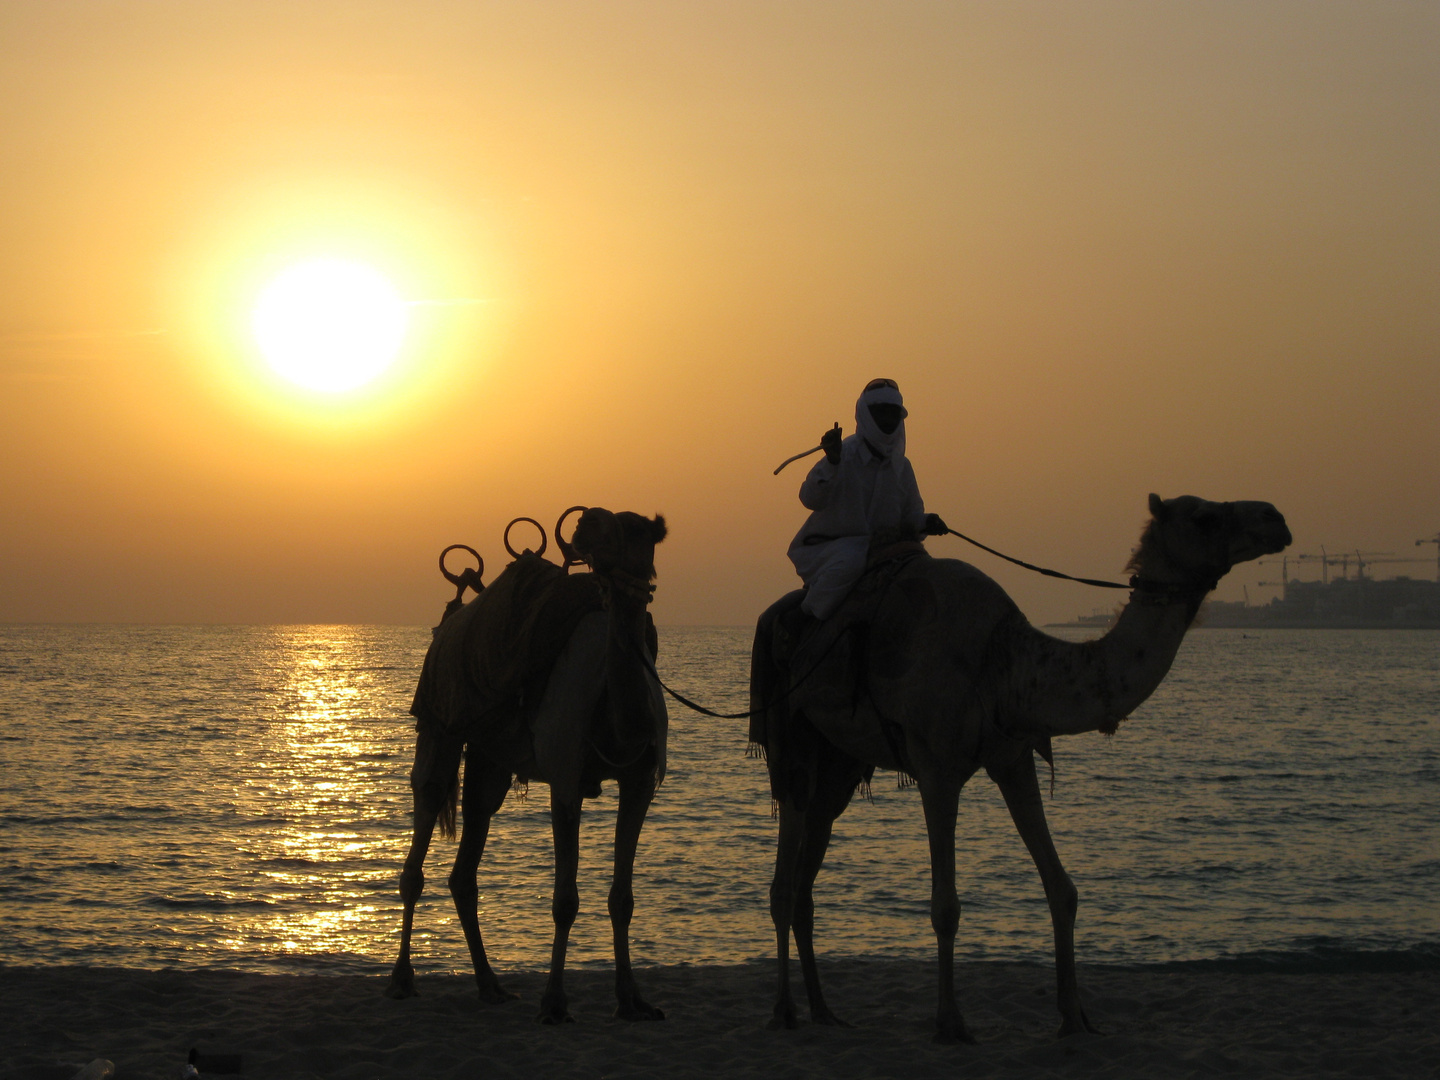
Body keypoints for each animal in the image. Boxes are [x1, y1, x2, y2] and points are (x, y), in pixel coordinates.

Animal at [385, 506, 671, 1025]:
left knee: (466, 862)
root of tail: (453, 618)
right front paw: (554, 1003)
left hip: (489, 758)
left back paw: (491, 985)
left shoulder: (640, 782)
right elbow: (565, 900)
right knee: (425, 810)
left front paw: (632, 1000)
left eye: (634, 526)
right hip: (440, 721)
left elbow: (622, 899)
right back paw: (401, 980)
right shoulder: (566, 777)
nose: (586, 521)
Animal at [754, 498, 1296, 1042]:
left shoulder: (1013, 758)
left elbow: (1063, 889)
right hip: (793, 735)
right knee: (784, 878)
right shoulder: (937, 767)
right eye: (1203, 515)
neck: (1004, 664)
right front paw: (951, 1022)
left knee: (808, 873)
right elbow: (945, 907)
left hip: (838, 762)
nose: (1275, 517)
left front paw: (1074, 1016)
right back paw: (783, 1010)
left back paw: (824, 1010)